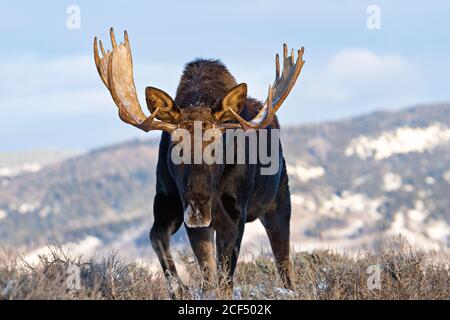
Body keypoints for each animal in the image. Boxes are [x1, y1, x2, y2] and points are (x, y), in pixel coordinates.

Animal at [95, 28, 306, 298]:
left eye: (218, 143)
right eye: (175, 144)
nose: (197, 207)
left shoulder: (235, 213)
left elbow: (225, 278)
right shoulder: (169, 200)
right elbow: (161, 240)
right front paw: (180, 289)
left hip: (279, 202)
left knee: (284, 262)